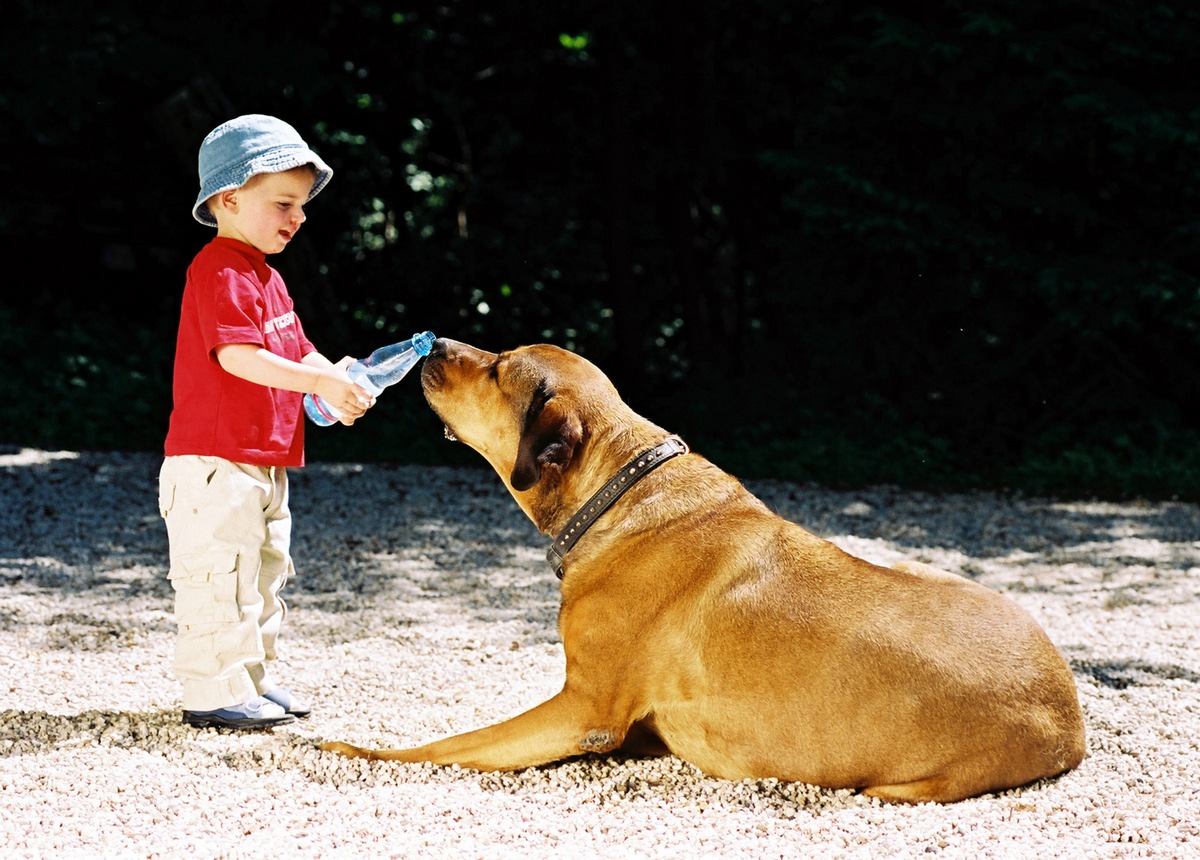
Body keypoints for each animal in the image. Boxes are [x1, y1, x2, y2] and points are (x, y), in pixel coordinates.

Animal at [324, 338, 1094, 801]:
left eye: (496, 369)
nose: (435, 342)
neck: (619, 489)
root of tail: (1071, 718)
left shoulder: (583, 709)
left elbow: (452, 744)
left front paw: (354, 748)